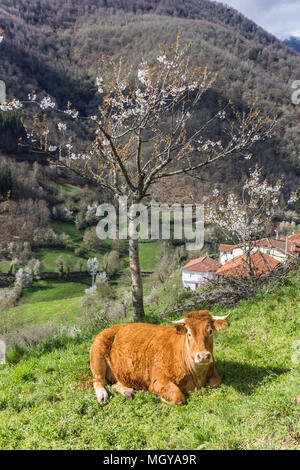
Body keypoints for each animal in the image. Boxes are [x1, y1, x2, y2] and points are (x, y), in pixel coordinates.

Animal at [89, 308, 230, 404]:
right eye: (189, 333)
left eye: (210, 331)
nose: (203, 356)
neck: (197, 376)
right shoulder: (158, 380)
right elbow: (178, 396)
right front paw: (160, 397)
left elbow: (216, 382)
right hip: (97, 354)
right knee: (98, 380)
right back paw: (102, 396)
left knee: (115, 383)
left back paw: (128, 392)